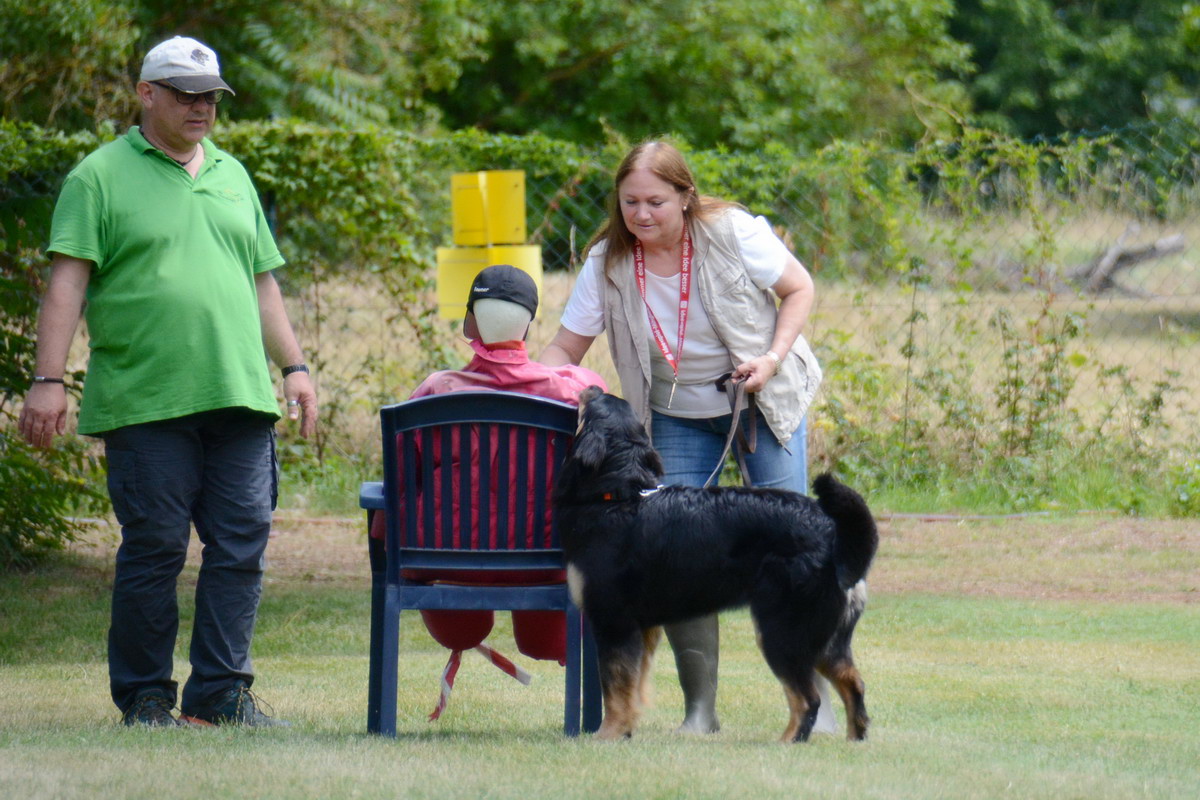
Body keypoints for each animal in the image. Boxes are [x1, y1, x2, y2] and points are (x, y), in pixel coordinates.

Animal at [554, 388, 883, 743]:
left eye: (590, 407)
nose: (594, 389)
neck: (617, 499)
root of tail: (834, 535)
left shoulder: (614, 622)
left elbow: (615, 687)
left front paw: (607, 735)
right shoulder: (643, 629)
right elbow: (632, 687)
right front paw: (625, 731)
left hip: (782, 631)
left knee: (808, 698)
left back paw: (787, 743)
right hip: (827, 640)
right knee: (853, 683)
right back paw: (854, 740)